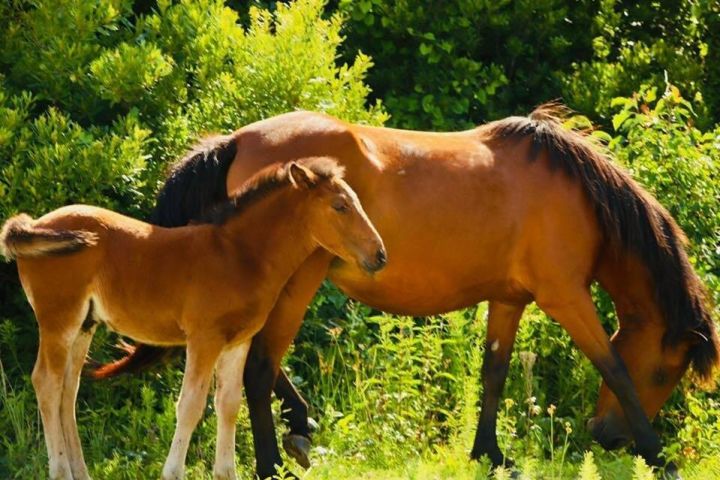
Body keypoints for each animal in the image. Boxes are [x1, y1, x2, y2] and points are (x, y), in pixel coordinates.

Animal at [0, 158, 386, 480]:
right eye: (340, 206)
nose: (380, 255)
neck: (239, 255)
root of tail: (35, 224)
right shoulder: (204, 338)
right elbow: (190, 405)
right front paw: (173, 473)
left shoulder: (238, 341)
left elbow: (228, 405)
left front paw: (226, 473)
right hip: (58, 319)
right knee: (46, 383)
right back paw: (60, 471)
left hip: (84, 325)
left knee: (68, 390)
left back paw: (80, 473)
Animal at [92, 104, 718, 479]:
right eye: (664, 372)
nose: (605, 435)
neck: (573, 193)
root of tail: (234, 140)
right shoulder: (564, 295)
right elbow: (612, 365)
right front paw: (659, 455)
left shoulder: (509, 298)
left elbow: (494, 372)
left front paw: (489, 453)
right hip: (297, 280)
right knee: (260, 368)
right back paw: (274, 459)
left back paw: (300, 427)